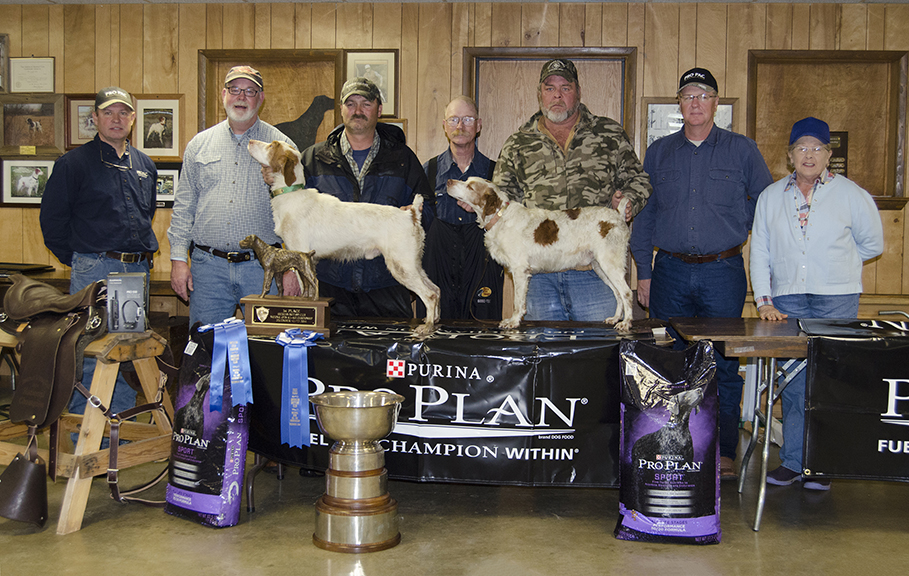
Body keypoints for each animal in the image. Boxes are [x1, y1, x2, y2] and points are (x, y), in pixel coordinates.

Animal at [247, 139, 440, 337]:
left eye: (271, 146)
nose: (250, 141)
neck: (291, 194)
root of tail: (411, 214)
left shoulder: (300, 252)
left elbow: (305, 287)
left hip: (401, 265)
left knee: (429, 294)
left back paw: (427, 328)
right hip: (413, 264)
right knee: (436, 289)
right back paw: (433, 320)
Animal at [447, 177, 633, 332]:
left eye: (470, 186)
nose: (449, 181)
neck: (500, 216)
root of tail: (618, 214)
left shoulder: (519, 270)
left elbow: (517, 302)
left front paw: (513, 322)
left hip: (610, 263)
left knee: (626, 292)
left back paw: (626, 323)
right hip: (599, 266)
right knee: (618, 293)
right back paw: (615, 318)